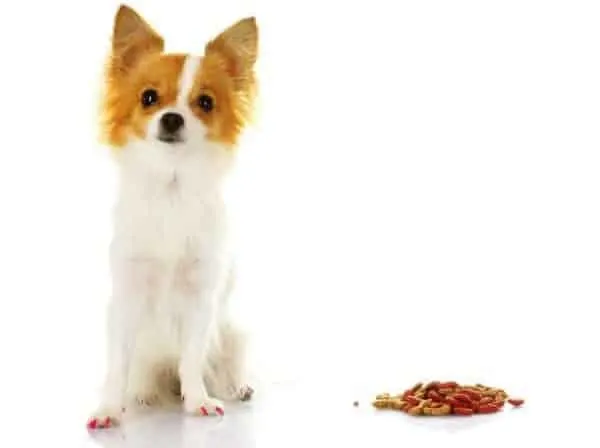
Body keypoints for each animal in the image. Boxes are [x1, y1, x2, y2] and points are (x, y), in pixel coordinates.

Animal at [88, 4, 256, 430]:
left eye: (206, 102)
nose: (172, 118)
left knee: (225, 360)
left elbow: (193, 357)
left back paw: (236, 387)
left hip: (234, 330)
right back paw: (143, 395)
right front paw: (109, 408)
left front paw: (198, 400)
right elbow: (117, 365)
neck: (172, 189)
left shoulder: (200, 297)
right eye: (149, 97)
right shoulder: (127, 296)